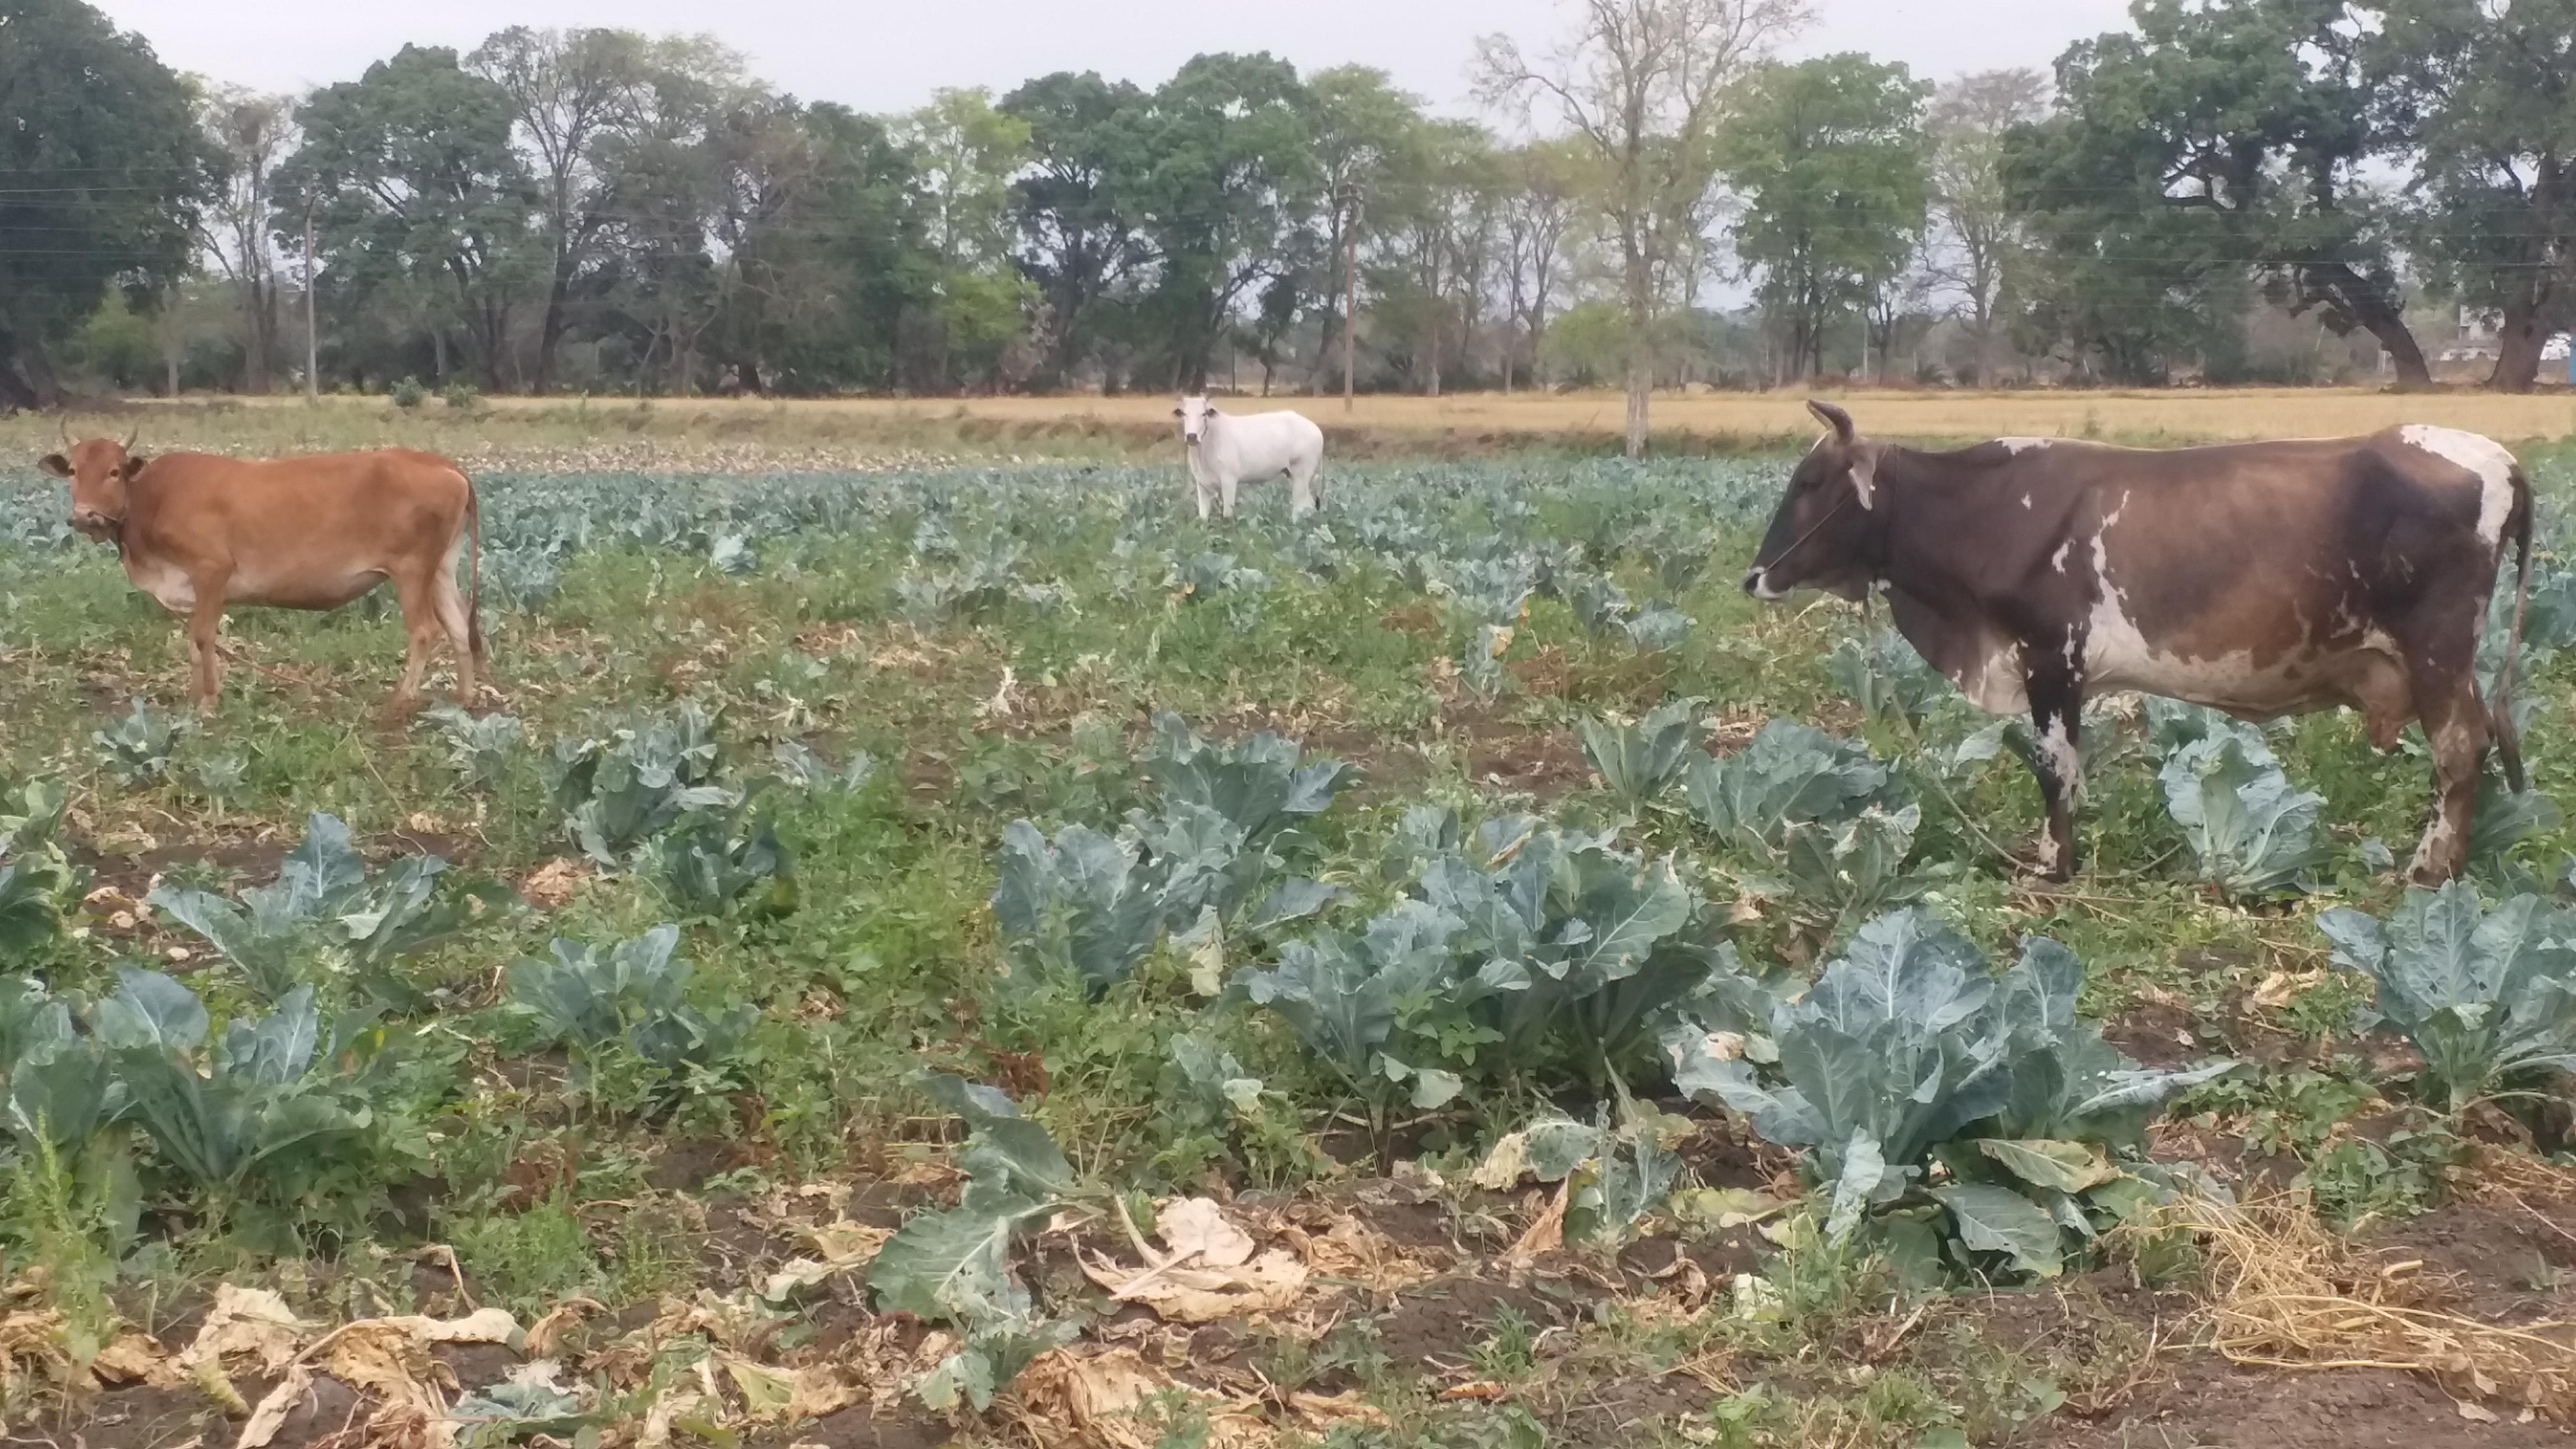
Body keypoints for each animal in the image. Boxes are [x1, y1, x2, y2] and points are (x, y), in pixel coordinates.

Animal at [41, 430, 486, 717]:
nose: (84, 516)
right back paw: (464, 698)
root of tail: (441, 463)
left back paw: (399, 701)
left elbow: (202, 637)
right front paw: (196, 696)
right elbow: (197, 643)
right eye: (74, 471)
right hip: (441, 567)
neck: (152, 499)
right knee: (458, 626)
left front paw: (207, 702)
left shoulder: (212, 570)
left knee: (425, 631)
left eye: (115, 472)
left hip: (411, 569)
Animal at [1175, 392, 1319, 520]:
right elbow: (1203, 517)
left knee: (1301, 506)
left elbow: (1227, 515)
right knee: (1309, 505)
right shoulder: (1202, 484)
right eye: (1184, 414)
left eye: (1203, 414)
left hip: (1301, 475)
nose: (1192, 436)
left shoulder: (1229, 481)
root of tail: (1316, 429)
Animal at [1741, 399, 2524, 887]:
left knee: (2458, 750)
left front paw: (2051, 868)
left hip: (2438, 651)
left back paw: (2428, 869)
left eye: (1811, 480)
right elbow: (2069, 771)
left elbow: (2053, 768)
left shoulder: (2049, 657)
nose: (1755, 576)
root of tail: (2498, 458)